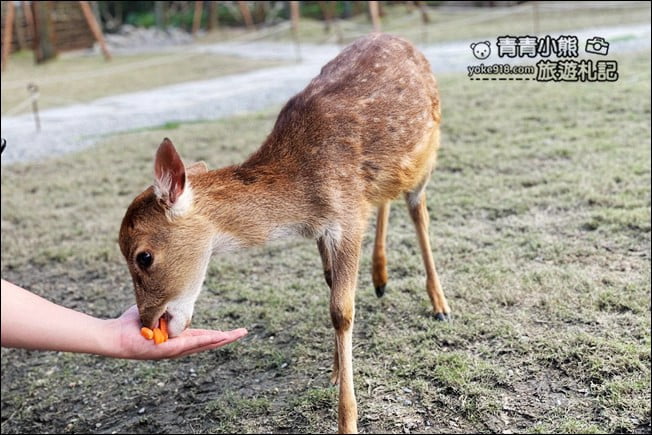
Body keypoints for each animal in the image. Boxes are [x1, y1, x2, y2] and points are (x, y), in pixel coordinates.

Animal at [118, 33, 450, 434]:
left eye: (144, 256)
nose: (146, 321)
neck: (303, 191)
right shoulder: (327, 227)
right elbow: (330, 288)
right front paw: (334, 371)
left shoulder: (346, 215)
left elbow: (341, 309)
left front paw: (347, 421)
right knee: (386, 200)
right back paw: (380, 278)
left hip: (427, 153)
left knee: (419, 213)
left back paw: (440, 305)